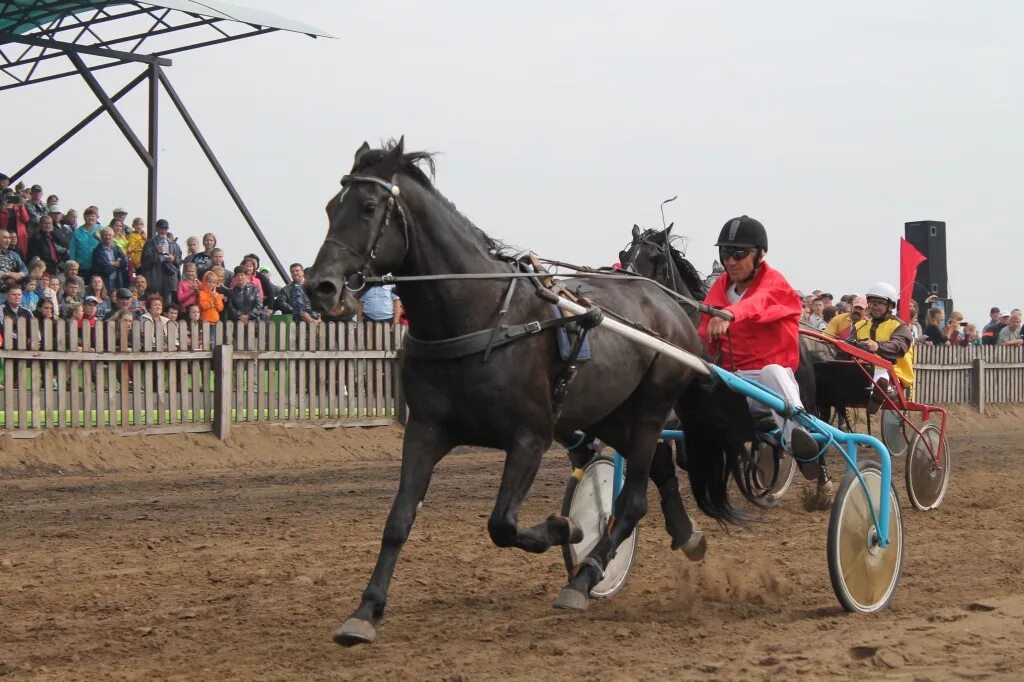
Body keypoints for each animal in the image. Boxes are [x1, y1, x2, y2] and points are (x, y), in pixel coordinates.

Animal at [303, 138, 753, 643]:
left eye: (367, 207)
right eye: (330, 207)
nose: (319, 286)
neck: (478, 316)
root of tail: (669, 308)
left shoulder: (530, 437)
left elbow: (502, 524)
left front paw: (569, 529)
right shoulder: (425, 429)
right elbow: (398, 519)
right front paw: (366, 610)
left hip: (651, 408)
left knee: (633, 499)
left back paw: (585, 575)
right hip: (609, 413)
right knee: (655, 467)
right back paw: (684, 535)